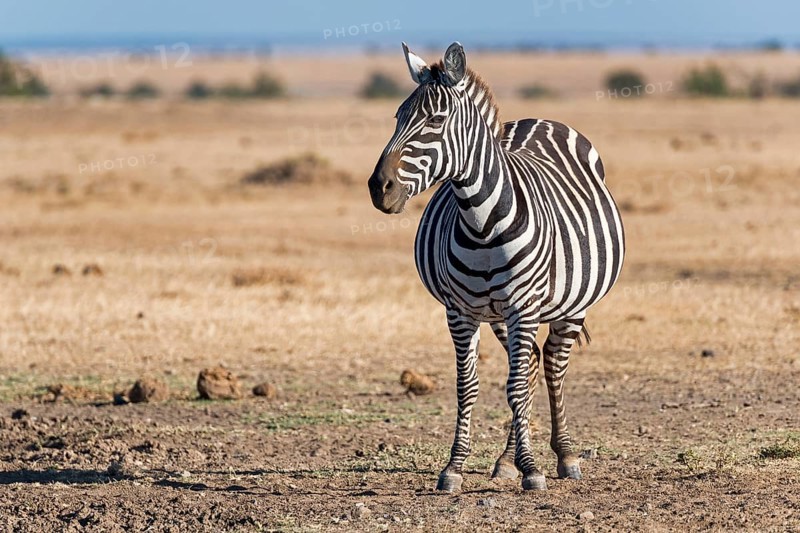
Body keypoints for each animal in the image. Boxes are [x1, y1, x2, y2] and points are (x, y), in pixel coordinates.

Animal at [367, 42, 625, 491]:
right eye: (397, 117)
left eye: (435, 120)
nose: (378, 188)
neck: (481, 222)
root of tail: (538, 120)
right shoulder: (459, 312)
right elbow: (468, 385)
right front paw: (455, 466)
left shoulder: (523, 306)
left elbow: (515, 385)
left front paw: (533, 468)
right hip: (500, 316)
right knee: (532, 365)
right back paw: (507, 460)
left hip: (572, 304)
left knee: (551, 364)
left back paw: (564, 456)